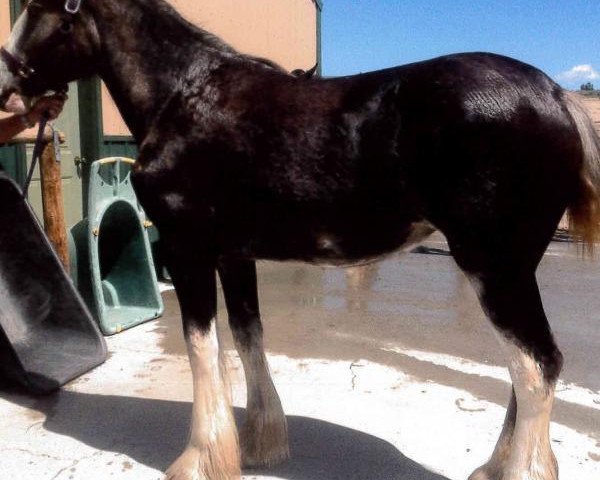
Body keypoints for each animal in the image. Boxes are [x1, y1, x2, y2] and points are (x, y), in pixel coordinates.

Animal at [2, 0, 596, 480]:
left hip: (493, 265)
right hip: (512, 269)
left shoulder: (187, 249)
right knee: (526, 366)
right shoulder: (233, 255)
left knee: (536, 365)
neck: (184, 96)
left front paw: (200, 460)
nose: (8, 89)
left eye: (36, 5)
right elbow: (248, 338)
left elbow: (202, 347)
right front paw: (258, 446)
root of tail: (554, 93)